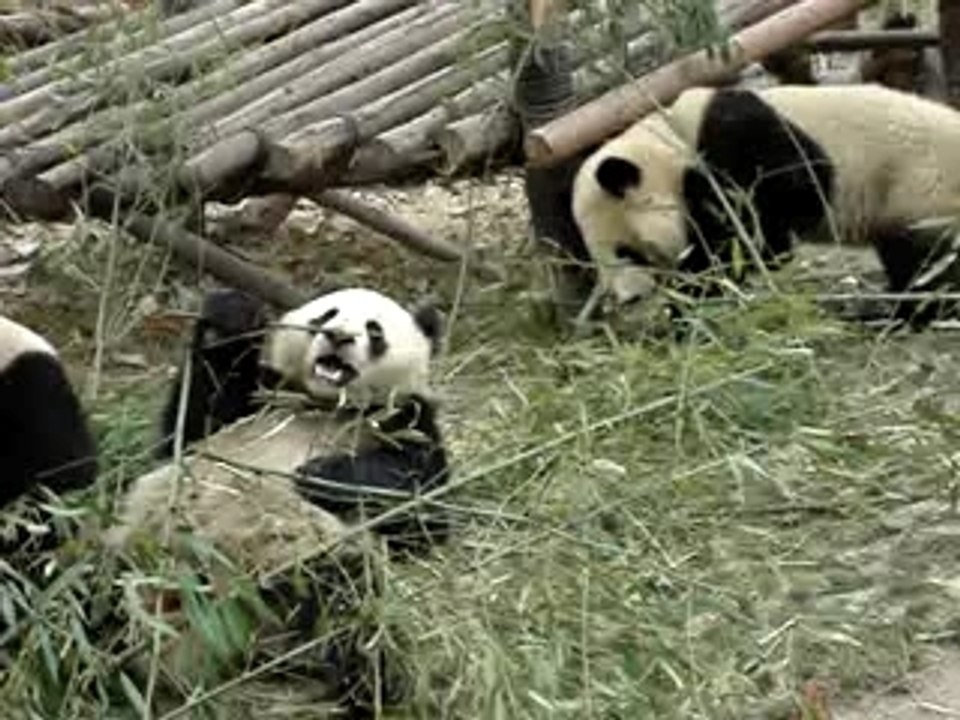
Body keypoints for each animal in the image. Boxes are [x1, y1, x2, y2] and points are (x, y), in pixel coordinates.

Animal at [104, 287, 449, 710]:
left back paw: (377, 686)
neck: (323, 405)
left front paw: (321, 474)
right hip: (129, 550)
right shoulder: (257, 402)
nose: (338, 337)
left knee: (349, 607)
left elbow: (423, 509)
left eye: (374, 331)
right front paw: (231, 318)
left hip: (301, 564)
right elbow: (190, 428)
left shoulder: (405, 419)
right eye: (326, 315)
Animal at [571, 84, 960, 324]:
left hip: (921, 190)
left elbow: (786, 197)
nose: (627, 299)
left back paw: (895, 315)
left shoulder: (738, 136)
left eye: (626, 252)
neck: (671, 137)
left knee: (922, 264)